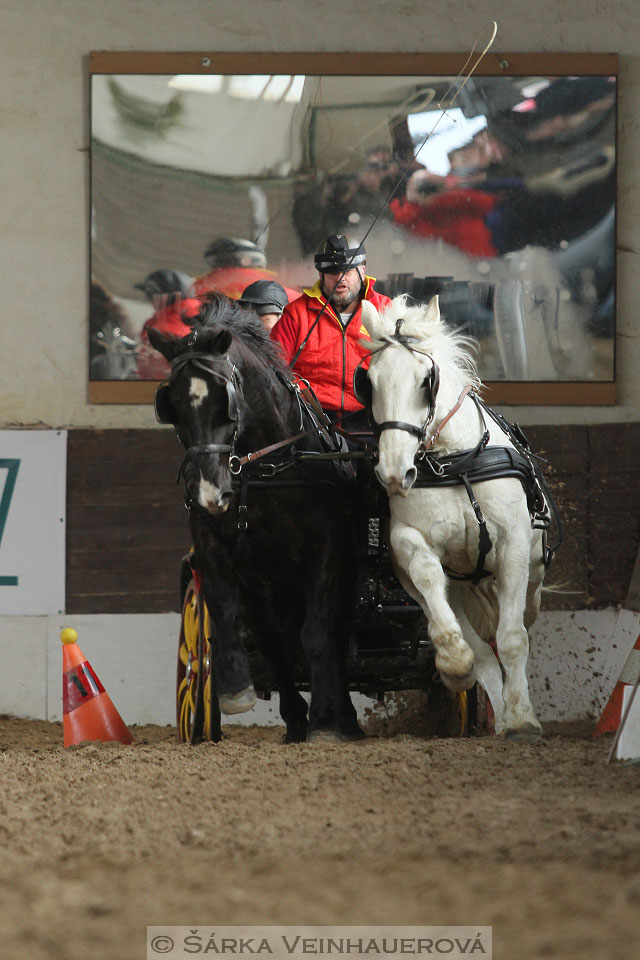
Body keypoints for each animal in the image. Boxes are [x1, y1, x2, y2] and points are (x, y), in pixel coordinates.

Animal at [147, 294, 362, 744]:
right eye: (172, 405)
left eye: (224, 400)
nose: (210, 491)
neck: (263, 467)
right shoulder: (221, 548)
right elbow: (237, 616)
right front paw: (236, 690)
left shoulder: (326, 545)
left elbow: (318, 632)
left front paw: (323, 718)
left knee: (336, 630)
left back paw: (343, 717)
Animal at [358, 296, 552, 740]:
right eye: (369, 381)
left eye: (425, 380)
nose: (393, 472)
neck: (455, 462)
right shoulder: (406, 540)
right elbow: (430, 576)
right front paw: (453, 662)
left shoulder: (513, 547)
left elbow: (512, 637)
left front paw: (523, 718)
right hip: (459, 587)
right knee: (479, 647)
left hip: (531, 576)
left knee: (519, 620)